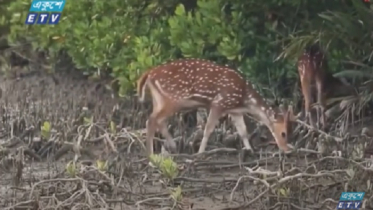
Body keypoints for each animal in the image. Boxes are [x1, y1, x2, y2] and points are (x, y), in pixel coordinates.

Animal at [137, 58, 296, 155]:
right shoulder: (219, 103)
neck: (244, 100)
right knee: (152, 120)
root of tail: (149, 73)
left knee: (159, 121)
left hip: (159, 99)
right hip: (173, 99)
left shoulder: (234, 110)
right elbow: (208, 129)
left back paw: (173, 147)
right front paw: (200, 152)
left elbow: (243, 131)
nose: (287, 150)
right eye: (283, 133)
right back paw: (150, 155)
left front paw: (250, 150)